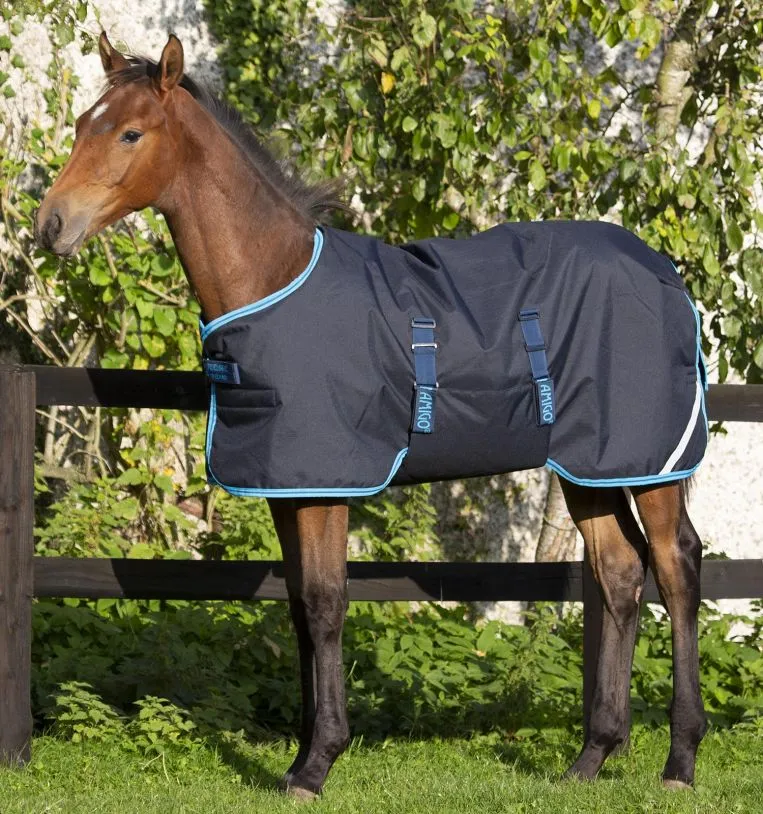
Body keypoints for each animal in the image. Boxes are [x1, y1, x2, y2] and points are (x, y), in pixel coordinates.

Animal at [35, 32, 708, 799]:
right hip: (588, 467)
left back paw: (679, 761)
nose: (51, 225)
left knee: (676, 568)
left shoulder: (328, 486)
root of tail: (664, 271)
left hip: (649, 463)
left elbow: (327, 603)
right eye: (82, 123)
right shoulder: (288, 488)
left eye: (129, 133)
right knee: (620, 574)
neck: (273, 278)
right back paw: (591, 758)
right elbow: (299, 608)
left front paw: (318, 763)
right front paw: (301, 755)